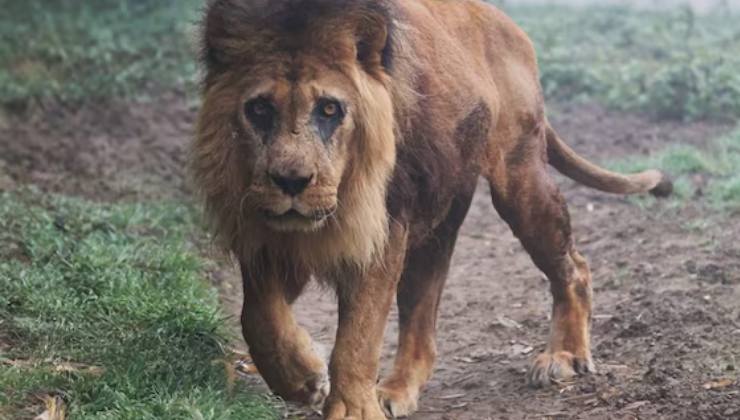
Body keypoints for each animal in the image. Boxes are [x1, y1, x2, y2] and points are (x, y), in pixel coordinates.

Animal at [191, 1, 672, 419]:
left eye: (329, 109)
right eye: (259, 109)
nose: (291, 182)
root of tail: (506, 24)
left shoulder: (384, 228)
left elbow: (358, 336)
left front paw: (350, 409)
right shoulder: (262, 234)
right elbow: (258, 316)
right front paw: (303, 377)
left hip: (519, 182)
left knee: (573, 266)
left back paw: (563, 356)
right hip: (436, 225)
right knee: (422, 324)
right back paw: (396, 389)